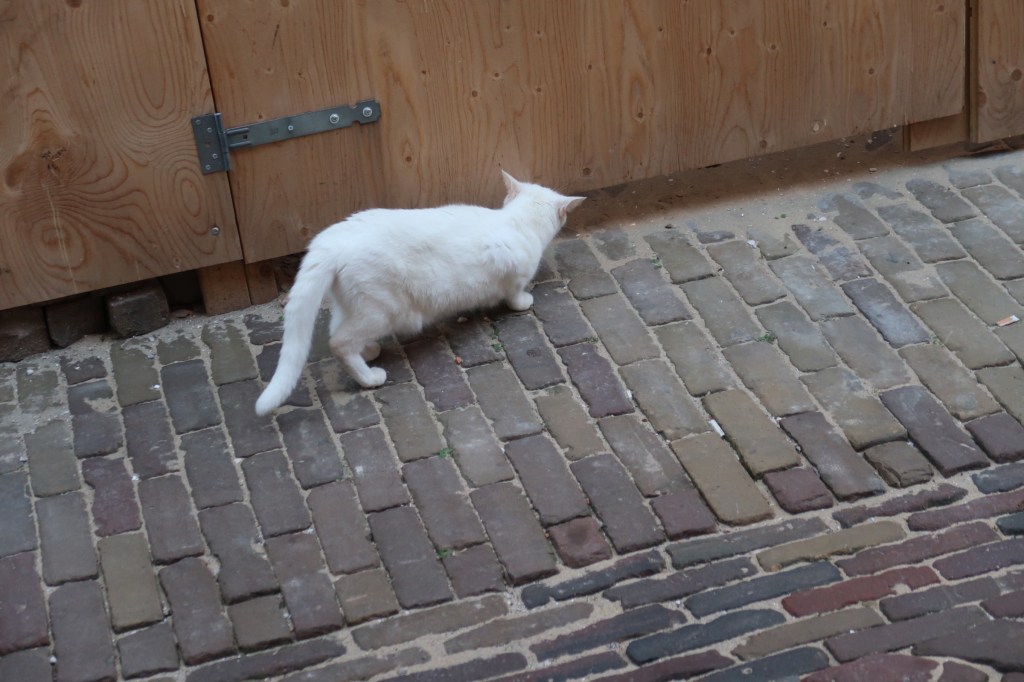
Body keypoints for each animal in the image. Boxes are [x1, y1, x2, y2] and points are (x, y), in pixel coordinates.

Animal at [254, 171, 584, 415]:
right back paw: (370, 377)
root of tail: (329, 241)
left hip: (353, 304)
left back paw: (369, 351)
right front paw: (524, 302)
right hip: (382, 311)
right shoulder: (514, 278)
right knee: (339, 341)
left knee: (338, 329)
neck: (516, 221)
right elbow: (516, 296)